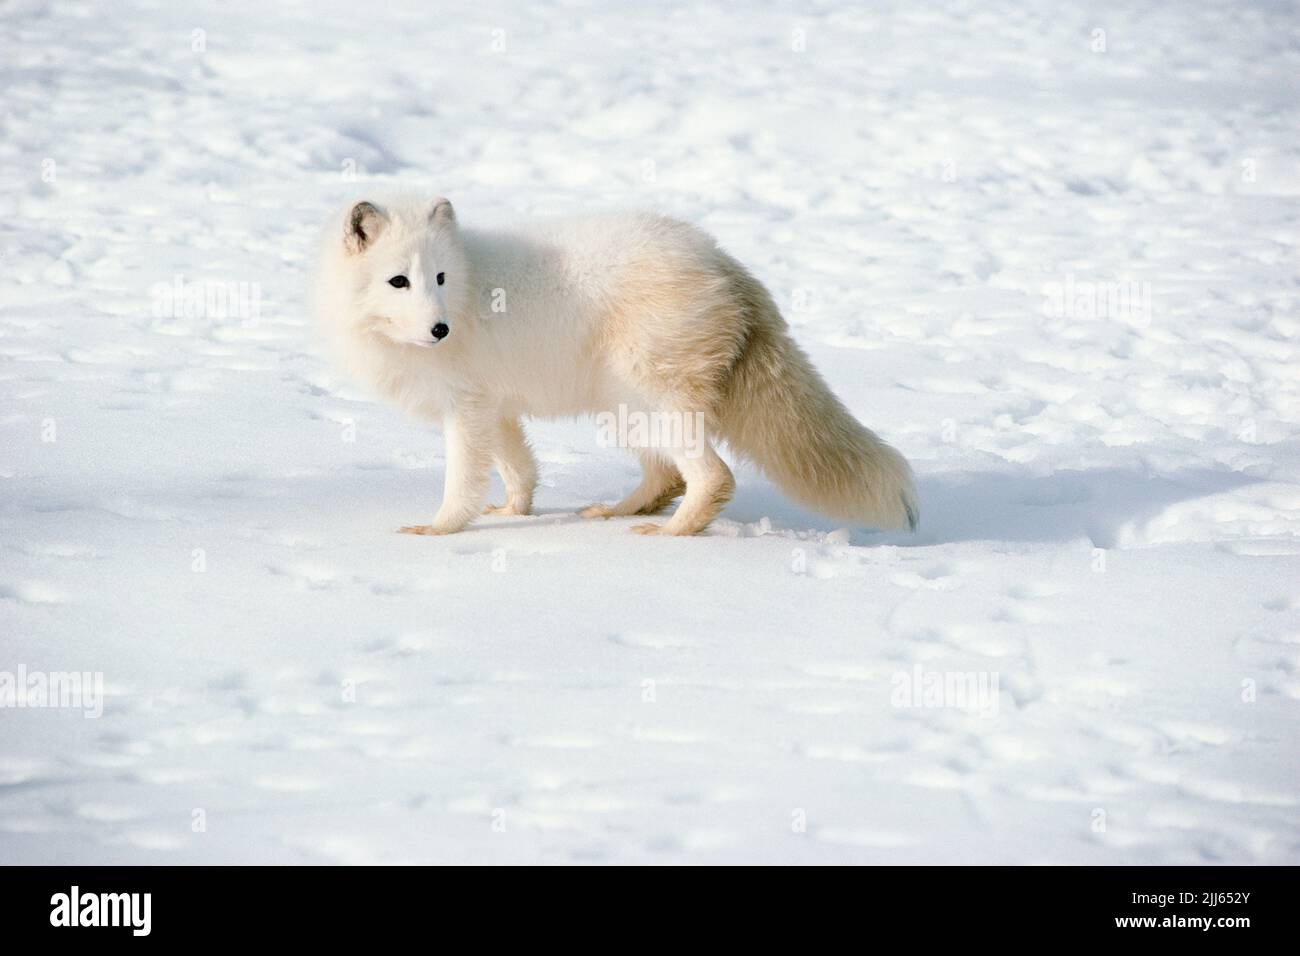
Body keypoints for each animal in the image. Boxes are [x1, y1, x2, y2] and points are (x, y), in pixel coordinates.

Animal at [312, 197, 915, 535]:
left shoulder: (466, 409)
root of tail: (724, 262)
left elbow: (461, 481)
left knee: (712, 476)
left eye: (438, 278)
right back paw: (617, 512)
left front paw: (438, 530)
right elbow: (520, 469)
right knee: (667, 476)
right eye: (399, 280)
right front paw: (513, 513)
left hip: (649, 397)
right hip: (622, 405)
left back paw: (672, 534)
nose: (440, 330)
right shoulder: (494, 408)